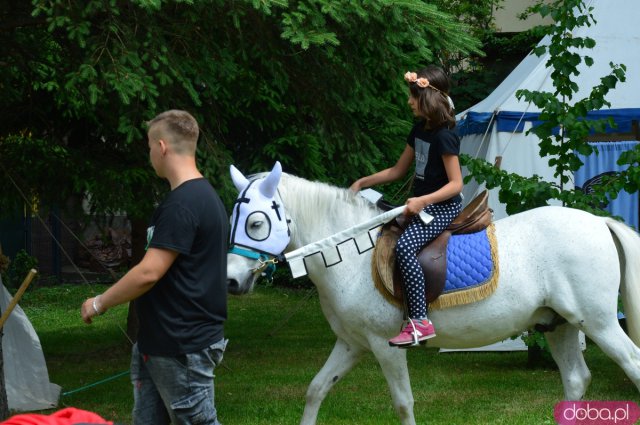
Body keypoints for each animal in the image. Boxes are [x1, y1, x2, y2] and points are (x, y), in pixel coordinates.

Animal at [226, 162, 640, 424]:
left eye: (256, 222)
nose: (231, 280)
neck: (349, 253)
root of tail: (599, 222)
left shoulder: (384, 346)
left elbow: (403, 403)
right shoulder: (351, 344)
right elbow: (315, 390)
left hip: (599, 324)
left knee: (631, 364)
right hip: (560, 325)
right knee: (576, 380)